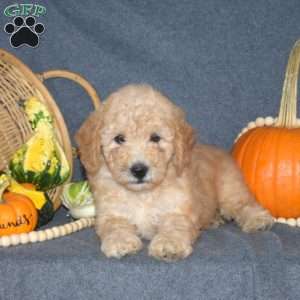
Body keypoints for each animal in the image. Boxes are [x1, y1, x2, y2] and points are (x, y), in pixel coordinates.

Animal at [75, 83, 274, 262]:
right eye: (119, 139)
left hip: (230, 190)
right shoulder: (111, 213)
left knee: (244, 204)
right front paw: (120, 241)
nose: (139, 170)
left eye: (155, 138)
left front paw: (169, 245)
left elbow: (174, 227)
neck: (143, 195)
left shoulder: (177, 210)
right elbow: (114, 226)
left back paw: (257, 220)